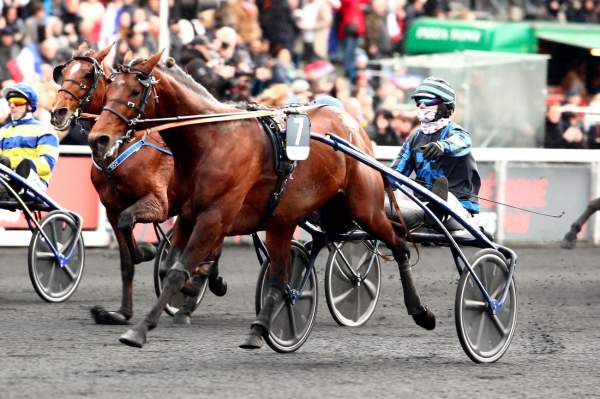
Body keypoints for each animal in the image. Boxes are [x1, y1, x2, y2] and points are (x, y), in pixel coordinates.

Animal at [50, 44, 225, 324]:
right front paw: (121, 313)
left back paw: (192, 296)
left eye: (88, 74)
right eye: (63, 72)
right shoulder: (112, 209)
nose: (58, 112)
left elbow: (131, 224)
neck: (126, 144)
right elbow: (126, 261)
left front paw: (148, 252)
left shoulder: (158, 204)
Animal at [86, 51, 436, 352]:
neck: (211, 139)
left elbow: (176, 272)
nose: (98, 138)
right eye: (109, 87)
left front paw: (139, 329)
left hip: (364, 208)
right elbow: (170, 267)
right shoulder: (187, 214)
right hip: (287, 219)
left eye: (134, 91)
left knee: (399, 244)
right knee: (284, 276)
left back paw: (421, 311)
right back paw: (260, 329)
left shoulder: (214, 217)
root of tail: (352, 125)